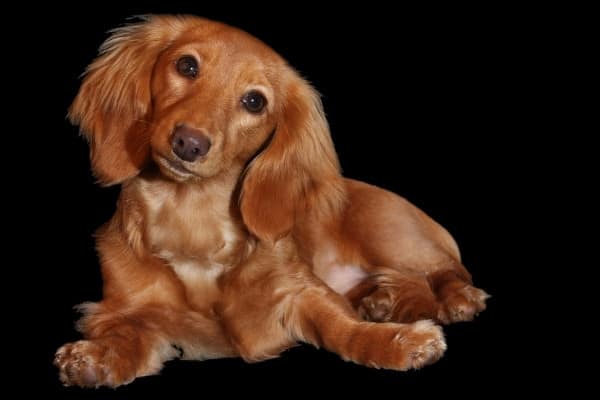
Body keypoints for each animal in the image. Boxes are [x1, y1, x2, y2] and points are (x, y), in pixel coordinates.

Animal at [55, 15, 488, 388]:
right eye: (187, 66)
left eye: (254, 102)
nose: (188, 143)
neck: (193, 222)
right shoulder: (124, 311)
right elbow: (125, 335)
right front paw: (95, 358)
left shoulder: (299, 291)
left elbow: (342, 328)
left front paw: (394, 343)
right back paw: (384, 300)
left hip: (389, 236)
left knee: (448, 271)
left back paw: (454, 300)